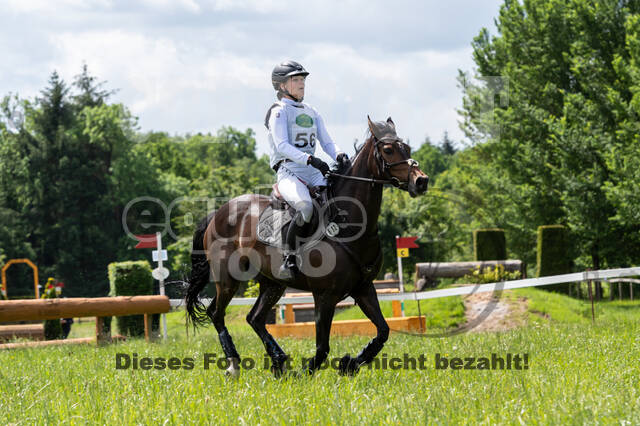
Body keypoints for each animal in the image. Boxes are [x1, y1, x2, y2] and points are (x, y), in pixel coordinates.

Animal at [185, 116, 429, 376]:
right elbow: (322, 347)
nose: (421, 181)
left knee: (255, 318)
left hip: (273, 283)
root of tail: (218, 212)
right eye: (389, 150)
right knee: (216, 313)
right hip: (228, 277)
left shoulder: (364, 288)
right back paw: (234, 364)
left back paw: (279, 361)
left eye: (408, 148)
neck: (350, 224)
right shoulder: (325, 295)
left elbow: (383, 331)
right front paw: (307, 371)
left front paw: (350, 363)